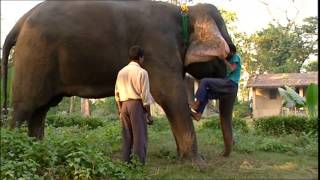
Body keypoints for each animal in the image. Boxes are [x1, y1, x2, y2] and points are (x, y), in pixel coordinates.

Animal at [0, 0, 238, 161]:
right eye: (229, 52)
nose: (223, 154)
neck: (184, 13)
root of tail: (20, 22)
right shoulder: (158, 47)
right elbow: (169, 95)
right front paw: (197, 163)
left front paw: (183, 157)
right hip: (34, 57)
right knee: (24, 108)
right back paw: (16, 152)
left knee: (41, 109)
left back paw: (37, 150)